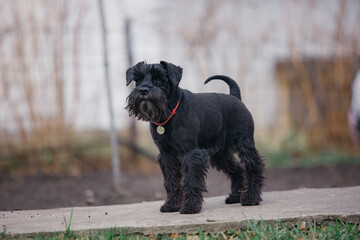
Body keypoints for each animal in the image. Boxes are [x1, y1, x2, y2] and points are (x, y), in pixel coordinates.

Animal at [126, 61, 264, 215]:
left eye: (158, 78)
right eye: (137, 79)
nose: (143, 90)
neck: (168, 114)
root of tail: (235, 97)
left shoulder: (191, 153)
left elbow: (191, 180)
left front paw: (190, 207)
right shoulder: (166, 155)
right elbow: (171, 181)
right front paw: (171, 205)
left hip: (244, 143)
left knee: (254, 166)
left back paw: (251, 198)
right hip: (220, 154)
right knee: (237, 169)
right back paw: (235, 197)